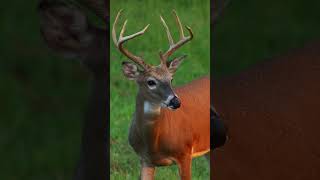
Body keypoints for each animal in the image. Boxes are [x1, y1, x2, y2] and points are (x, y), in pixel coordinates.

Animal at [112, 10, 210, 180]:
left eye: (171, 79)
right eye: (151, 82)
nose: (176, 102)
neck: (153, 144)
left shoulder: (185, 153)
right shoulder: (145, 160)